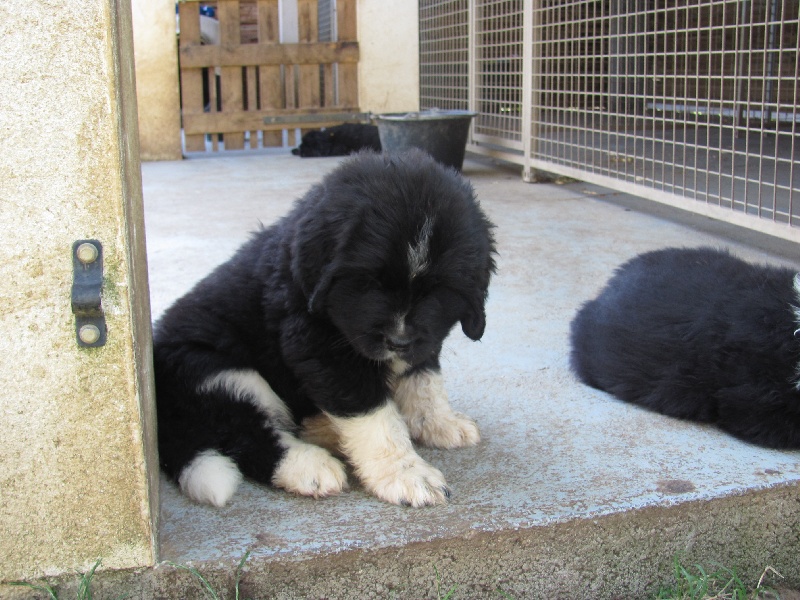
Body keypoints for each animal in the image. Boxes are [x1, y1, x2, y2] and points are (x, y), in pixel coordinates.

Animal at [153, 149, 496, 506]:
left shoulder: (424, 339)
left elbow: (424, 381)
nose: (398, 341)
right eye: (371, 281)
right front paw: (406, 473)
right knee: (246, 434)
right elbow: (374, 414)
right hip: (219, 372)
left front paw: (439, 421)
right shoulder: (320, 350)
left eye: (437, 289)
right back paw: (310, 466)